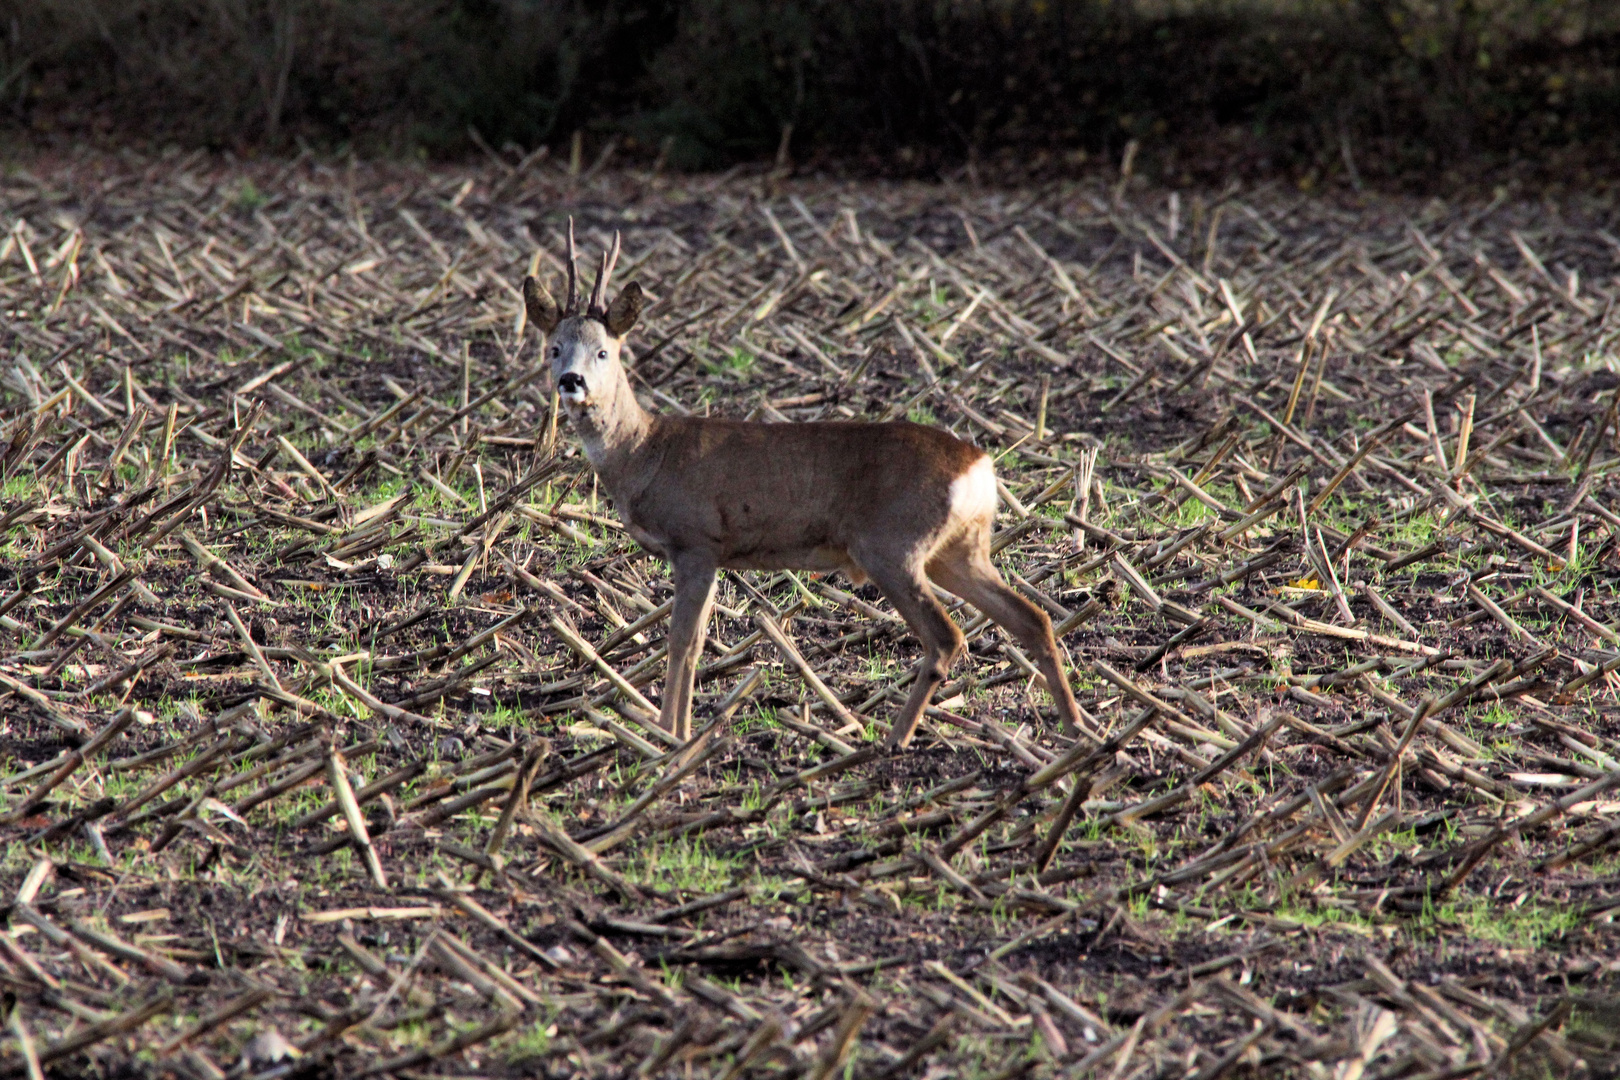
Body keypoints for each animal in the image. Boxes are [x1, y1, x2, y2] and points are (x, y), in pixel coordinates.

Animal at [524, 223, 1082, 748]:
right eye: (554, 348)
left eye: (603, 352)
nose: (571, 381)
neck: (646, 451)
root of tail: (979, 465)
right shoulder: (711, 553)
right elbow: (697, 639)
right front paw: (676, 732)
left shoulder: (697, 540)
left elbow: (683, 641)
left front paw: (670, 736)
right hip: (960, 549)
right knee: (1033, 617)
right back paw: (1076, 729)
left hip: (892, 544)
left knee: (946, 635)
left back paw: (894, 739)